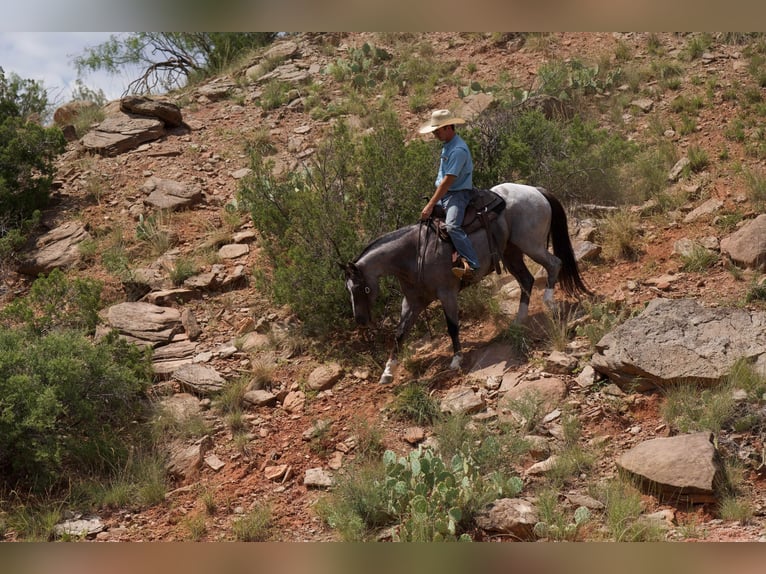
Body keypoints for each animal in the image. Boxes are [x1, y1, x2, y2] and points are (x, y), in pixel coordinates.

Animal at [343, 182, 591, 384]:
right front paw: (387, 371)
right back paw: (519, 320)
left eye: (361, 288)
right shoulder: (413, 302)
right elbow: (400, 333)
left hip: (531, 244)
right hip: (511, 252)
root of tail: (536, 190)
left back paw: (549, 302)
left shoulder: (447, 293)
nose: (360, 320)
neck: (414, 254)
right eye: (349, 290)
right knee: (527, 280)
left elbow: (452, 326)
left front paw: (456, 359)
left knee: (554, 264)